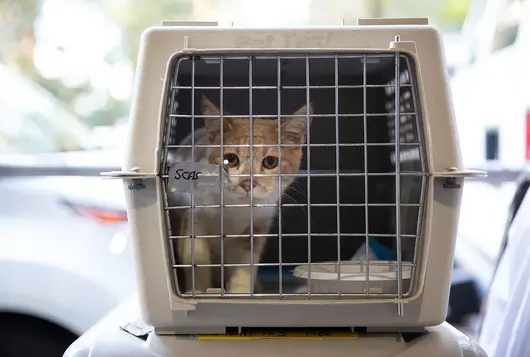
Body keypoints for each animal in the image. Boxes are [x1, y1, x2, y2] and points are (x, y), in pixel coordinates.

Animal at [168, 96, 310, 294]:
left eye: (270, 161)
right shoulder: (194, 220)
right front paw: (199, 291)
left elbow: (244, 267)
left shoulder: (254, 230)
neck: (235, 209)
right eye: (231, 159)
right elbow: (197, 259)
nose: (247, 182)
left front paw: (240, 292)